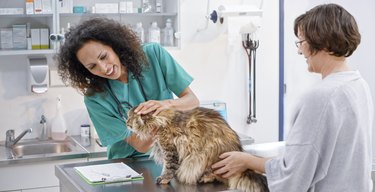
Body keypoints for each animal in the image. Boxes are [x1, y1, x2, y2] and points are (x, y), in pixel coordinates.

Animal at [128, 106, 268, 192]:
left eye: (131, 119)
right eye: (127, 118)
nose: (126, 123)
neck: (160, 121)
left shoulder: (170, 149)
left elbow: (168, 167)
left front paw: (164, 179)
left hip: (205, 156)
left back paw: (204, 178)